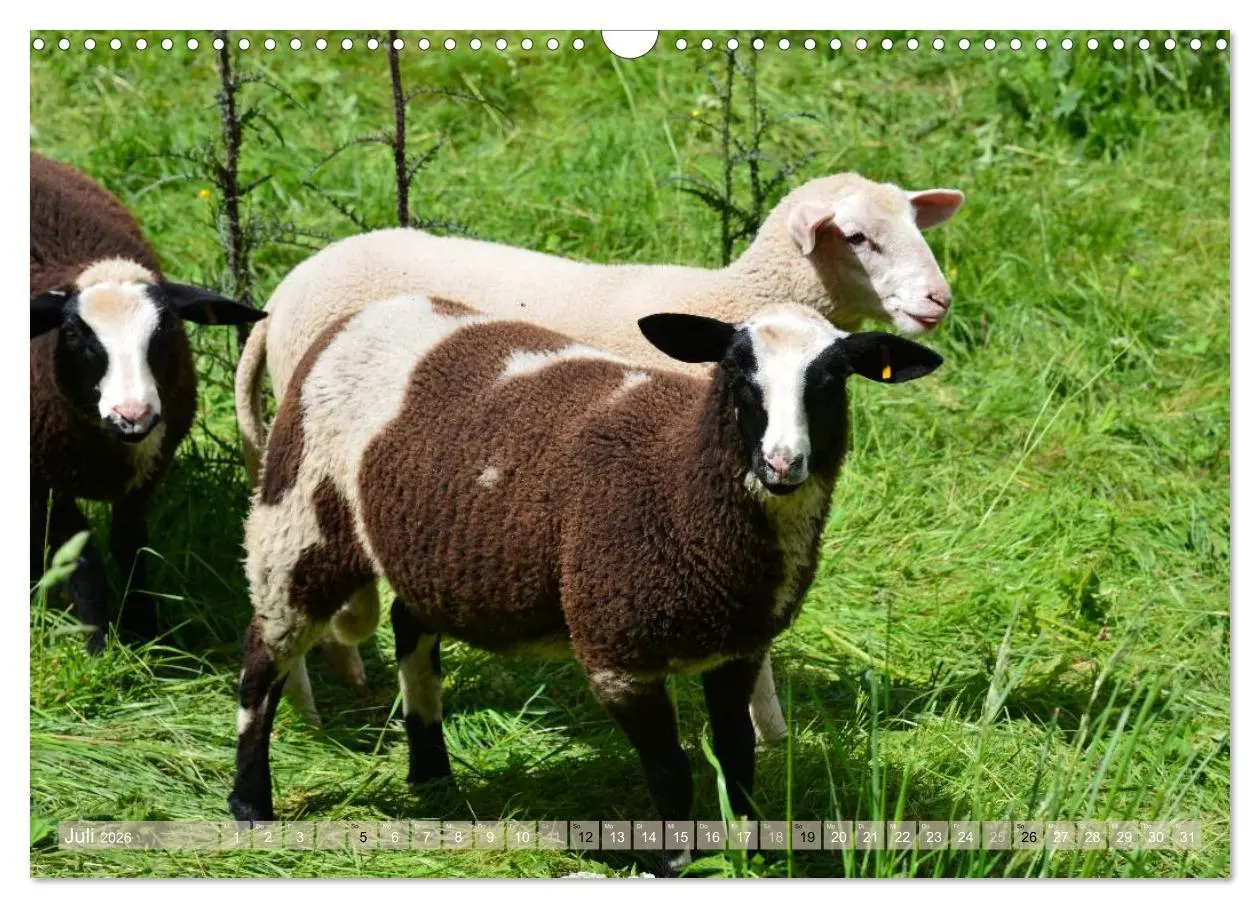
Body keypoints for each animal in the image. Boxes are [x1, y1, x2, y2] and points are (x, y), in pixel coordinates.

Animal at [30, 153, 265, 651]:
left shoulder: (151, 468)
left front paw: (144, 629)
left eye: (167, 329)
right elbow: (82, 556)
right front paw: (99, 643)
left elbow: (130, 543)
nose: (133, 416)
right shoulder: (44, 474)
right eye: (74, 333)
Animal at [227, 293, 944, 874]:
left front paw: (746, 850)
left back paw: (432, 777)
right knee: (264, 654)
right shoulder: (617, 651)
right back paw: (250, 804)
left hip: (423, 544)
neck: (678, 481)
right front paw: (678, 863)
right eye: (740, 372)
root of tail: (360, 315)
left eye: (832, 378)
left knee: (411, 629)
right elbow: (670, 767)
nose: (782, 464)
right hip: (299, 513)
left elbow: (737, 753)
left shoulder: (739, 646)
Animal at [234, 171, 965, 741]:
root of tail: (280, 297)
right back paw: (306, 711)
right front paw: (766, 729)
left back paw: (349, 677)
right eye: (859, 238)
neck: (728, 300)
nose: (939, 299)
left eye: (914, 224)